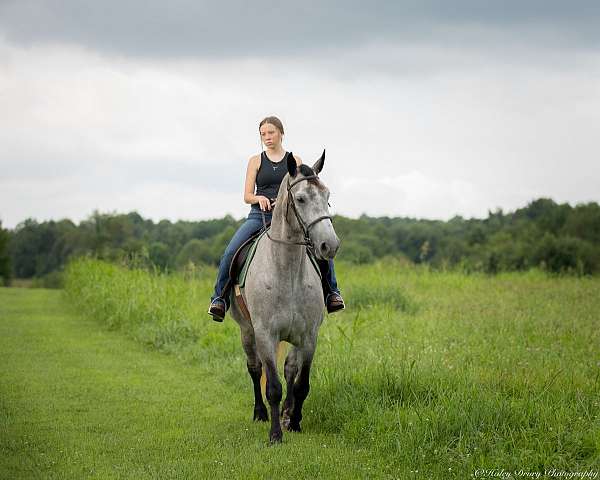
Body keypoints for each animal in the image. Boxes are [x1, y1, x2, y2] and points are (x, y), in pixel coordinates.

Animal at [229, 150, 340, 442]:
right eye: (300, 198)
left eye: (327, 196)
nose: (330, 245)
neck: (286, 271)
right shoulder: (266, 335)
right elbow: (273, 387)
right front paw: (276, 434)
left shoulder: (309, 337)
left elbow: (301, 383)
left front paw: (295, 421)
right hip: (246, 330)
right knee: (255, 368)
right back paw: (260, 413)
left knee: (290, 370)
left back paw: (288, 413)